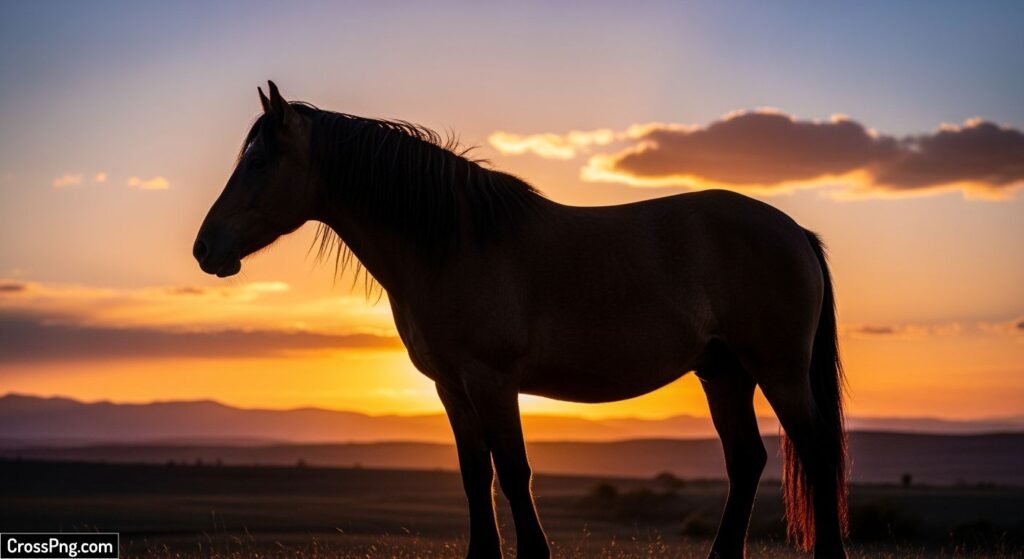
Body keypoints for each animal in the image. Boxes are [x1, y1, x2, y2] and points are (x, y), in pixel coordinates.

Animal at [194, 82, 849, 559]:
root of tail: (794, 230)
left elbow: (512, 471)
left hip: (778, 371)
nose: (206, 249)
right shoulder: (451, 387)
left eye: (259, 161)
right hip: (724, 374)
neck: (454, 244)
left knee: (816, 451)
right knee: (747, 461)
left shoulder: (492, 380)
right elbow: (474, 474)